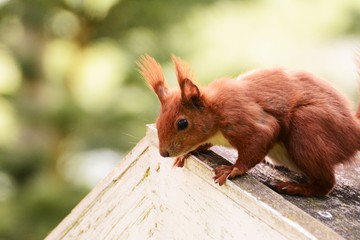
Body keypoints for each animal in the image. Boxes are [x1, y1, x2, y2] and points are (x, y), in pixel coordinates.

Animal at [139, 54, 360, 197]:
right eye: (158, 121)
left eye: (182, 123)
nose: (164, 153)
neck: (215, 109)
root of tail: (353, 130)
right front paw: (188, 152)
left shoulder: (243, 118)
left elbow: (261, 138)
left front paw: (233, 169)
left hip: (307, 128)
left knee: (326, 183)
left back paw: (296, 188)